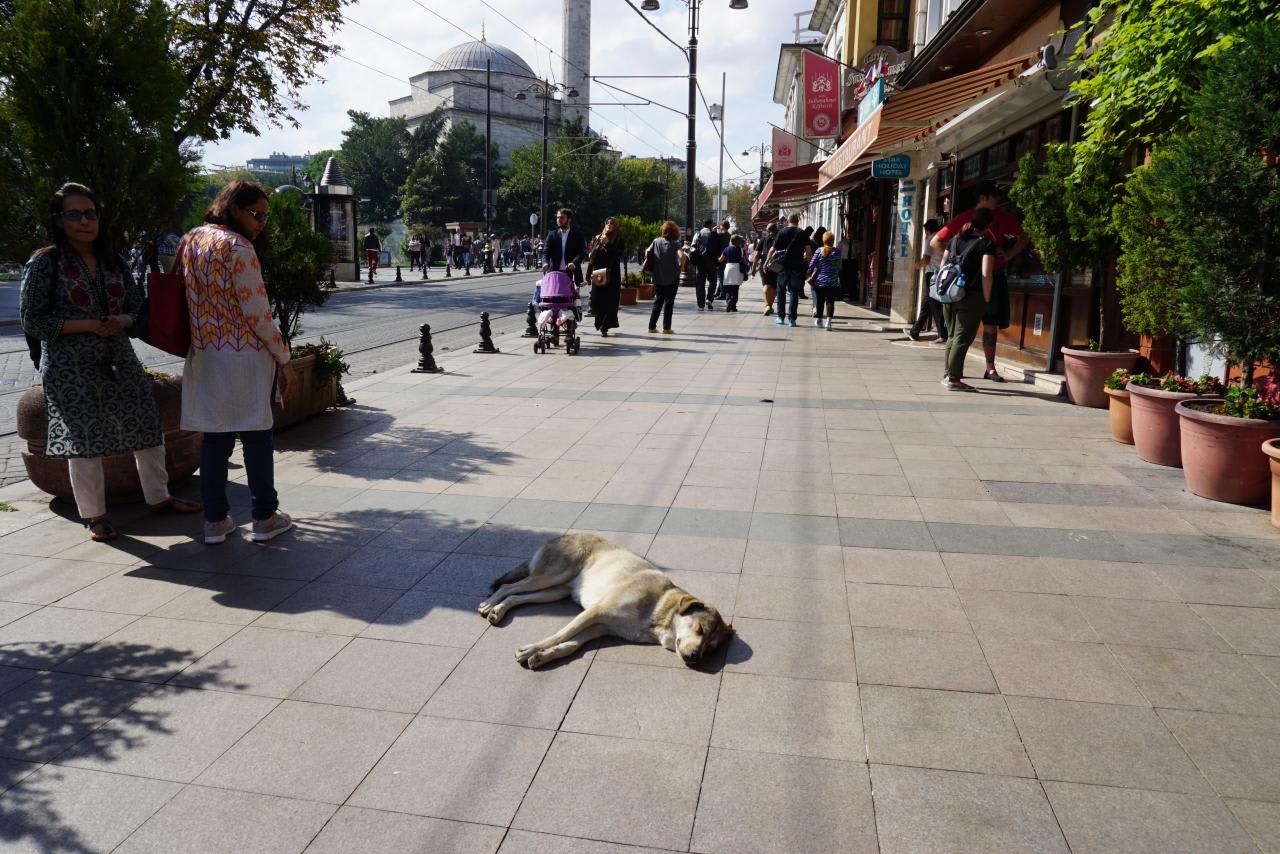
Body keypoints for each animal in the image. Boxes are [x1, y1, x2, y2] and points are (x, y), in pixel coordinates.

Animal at [478, 533, 734, 670]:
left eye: (711, 648)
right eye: (700, 629)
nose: (696, 658)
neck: (659, 607)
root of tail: (560, 535)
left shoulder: (601, 628)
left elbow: (571, 645)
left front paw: (542, 656)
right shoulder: (595, 612)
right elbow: (561, 635)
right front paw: (530, 649)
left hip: (555, 591)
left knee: (516, 595)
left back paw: (498, 610)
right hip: (551, 576)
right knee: (509, 586)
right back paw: (490, 605)